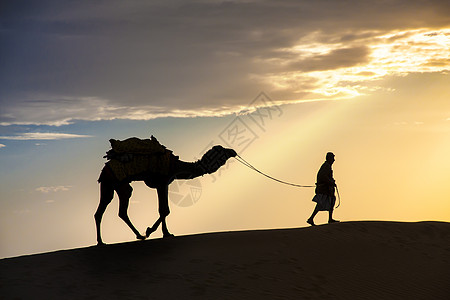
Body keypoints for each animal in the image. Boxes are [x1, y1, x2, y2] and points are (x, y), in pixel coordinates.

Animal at [93, 137, 237, 245]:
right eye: (222, 150)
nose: (233, 151)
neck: (176, 166)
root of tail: (104, 169)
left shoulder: (164, 184)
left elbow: (164, 209)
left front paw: (164, 233)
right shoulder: (162, 182)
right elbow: (165, 210)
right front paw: (155, 231)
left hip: (109, 184)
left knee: (105, 209)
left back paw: (103, 242)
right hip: (118, 183)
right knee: (121, 206)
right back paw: (139, 236)